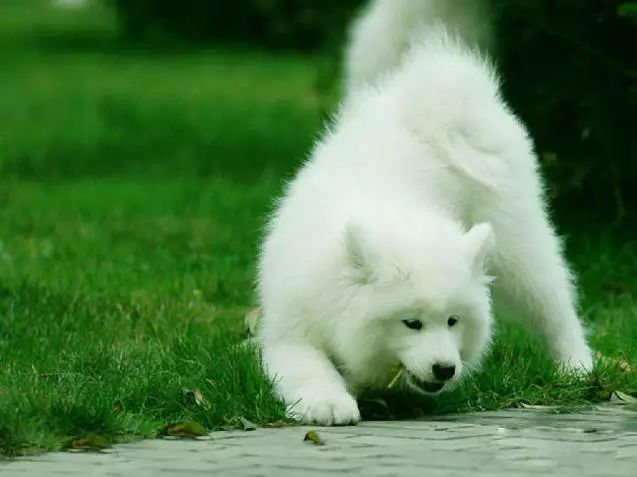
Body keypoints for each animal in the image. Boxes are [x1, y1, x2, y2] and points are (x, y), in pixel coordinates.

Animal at [256, 0, 592, 424]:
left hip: (517, 247)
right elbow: (309, 366)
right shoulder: (290, 330)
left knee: (555, 307)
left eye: (452, 321)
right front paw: (328, 402)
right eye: (411, 324)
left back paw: (577, 367)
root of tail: (449, 96)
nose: (445, 369)